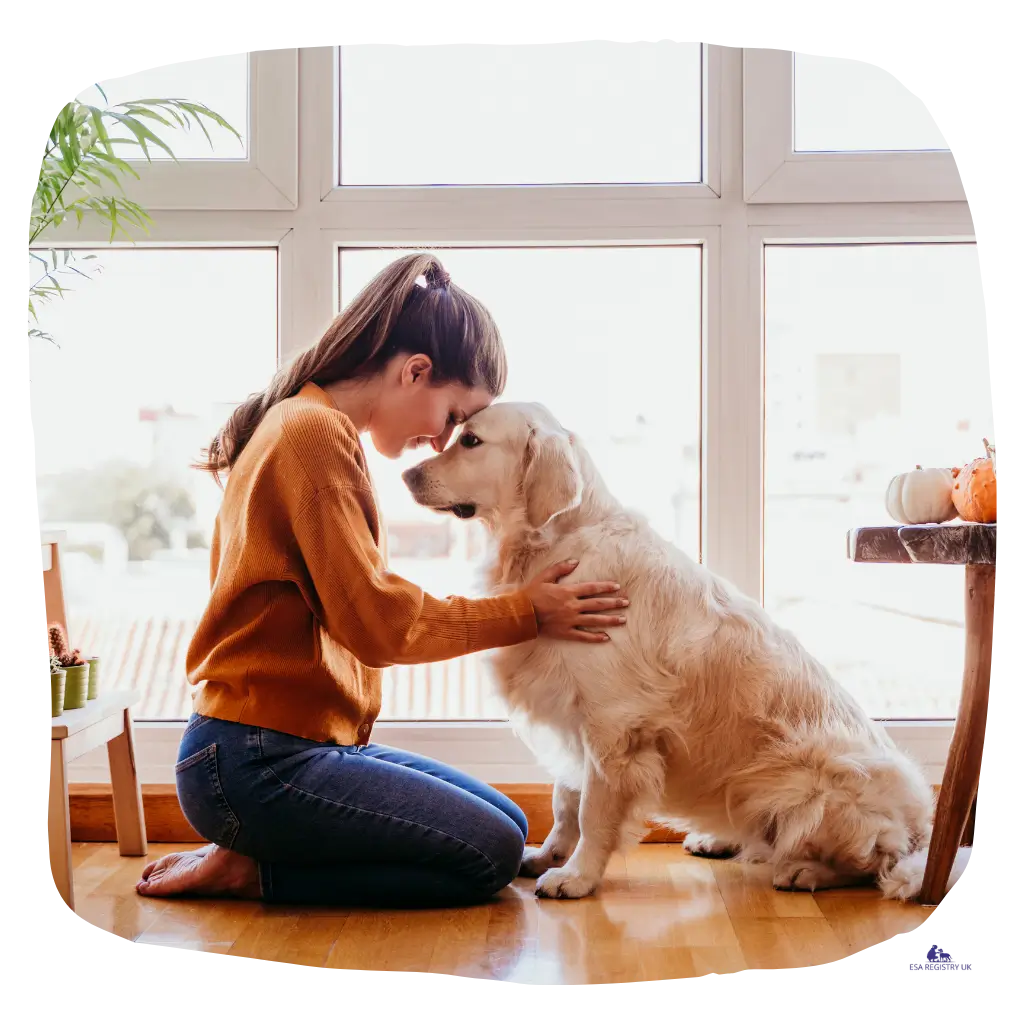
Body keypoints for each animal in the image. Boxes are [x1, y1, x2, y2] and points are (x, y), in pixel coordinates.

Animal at [399, 403, 974, 901]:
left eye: (471, 441)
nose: (406, 475)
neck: (556, 543)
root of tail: (923, 828)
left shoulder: (612, 724)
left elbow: (592, 812)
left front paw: (577, 877)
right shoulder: (570, 716)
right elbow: (565, 801)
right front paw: (548, 855)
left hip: (813, 781)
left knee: (873, 862)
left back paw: (805, 871)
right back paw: (718, 839)